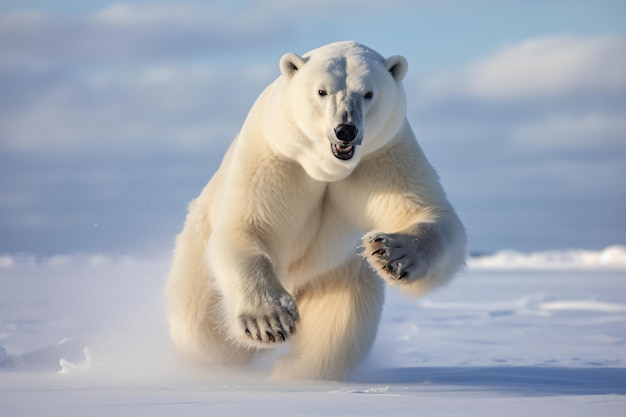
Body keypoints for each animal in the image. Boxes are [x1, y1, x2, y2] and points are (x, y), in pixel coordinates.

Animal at [166, 40, 464, 378]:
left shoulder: (383, 157)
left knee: (336, 333)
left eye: (368, 93)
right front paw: (270, 322)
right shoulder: (276, 157)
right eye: (322, 91)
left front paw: (391, 253)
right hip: (198, 253)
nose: (345, 130)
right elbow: (250, 226)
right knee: (201, 327)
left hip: (338, 278)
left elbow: (432, 214)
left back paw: (294, 371)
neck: (328, 166)